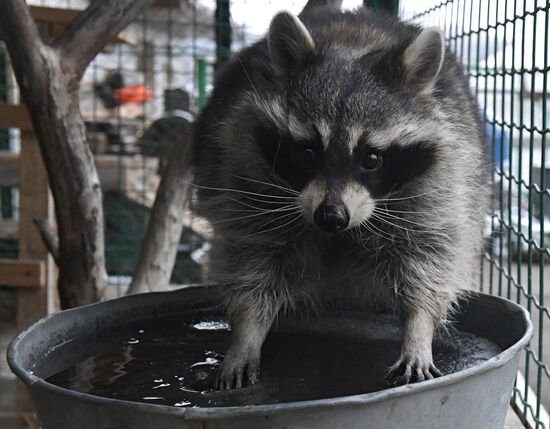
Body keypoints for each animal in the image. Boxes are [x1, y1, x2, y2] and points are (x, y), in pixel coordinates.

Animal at [192, 0, 490, 388]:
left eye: (371, 159)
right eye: (306, 153)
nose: (331, 216)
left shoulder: (438, 184)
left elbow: (429, 260)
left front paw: (419, 327)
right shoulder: (247, 172)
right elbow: (254, 259)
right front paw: (246, 332)